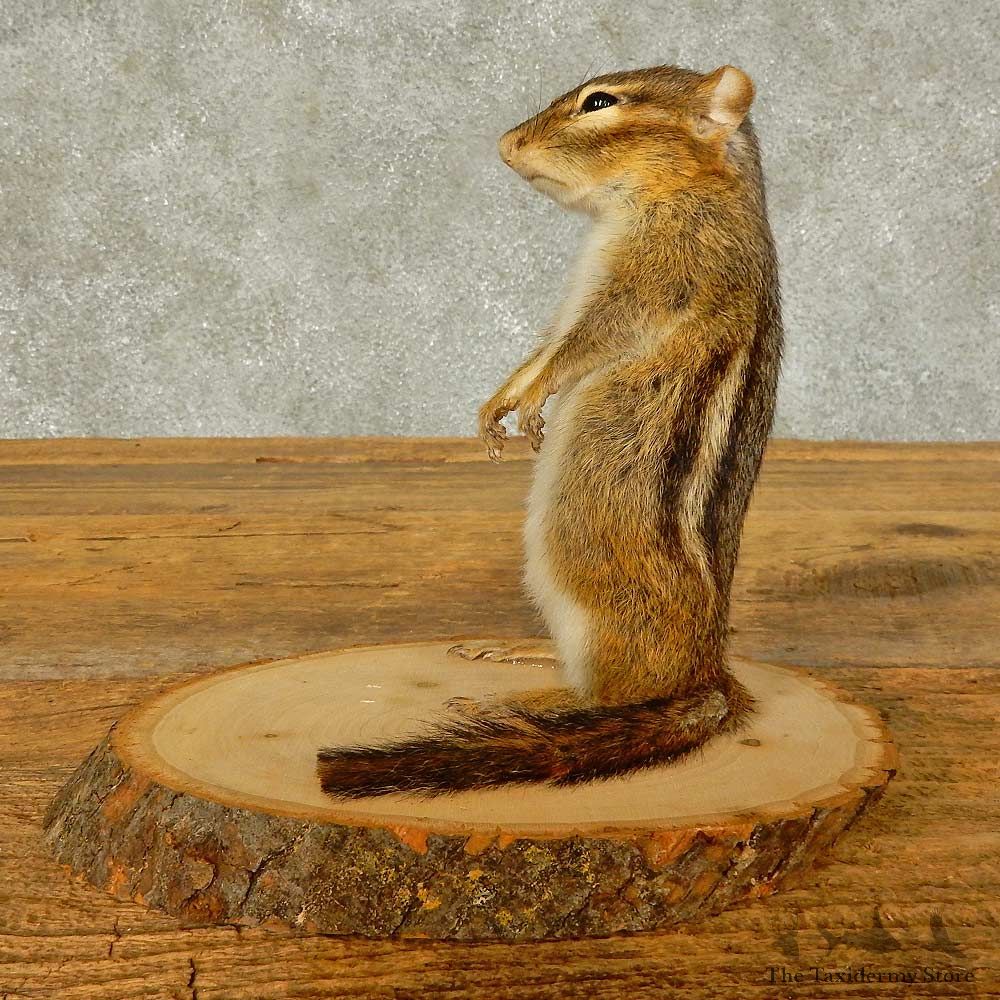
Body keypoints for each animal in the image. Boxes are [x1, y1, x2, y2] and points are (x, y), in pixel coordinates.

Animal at [318, 63, 783, 797]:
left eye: (601, 101)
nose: (506, 145)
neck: (696, 188)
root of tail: (710, 677)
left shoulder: (654, 276)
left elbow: (579, 349)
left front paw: (535, 399)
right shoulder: (573, 298)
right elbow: (545, 346)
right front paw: (500, 404)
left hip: (581, 572)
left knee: (614, 696)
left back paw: (531, 699)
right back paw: (520, 650)